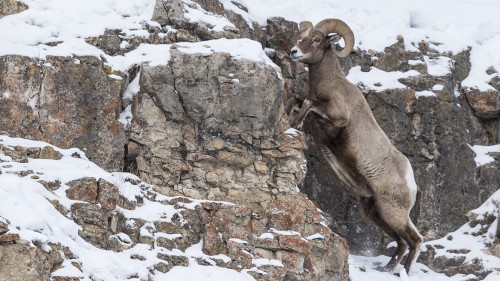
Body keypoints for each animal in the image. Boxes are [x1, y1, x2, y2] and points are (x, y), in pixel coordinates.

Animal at [290, 19, 422, 274]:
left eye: (317, 40)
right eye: (299, 36)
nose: (294, 52)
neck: (331, 85)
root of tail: (410, 180)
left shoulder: (337, 117)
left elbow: (309, 103)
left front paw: (297, 124)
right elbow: (297, 101)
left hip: (392, 212)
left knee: (415, 240)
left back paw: (403, 272)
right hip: (374, 211)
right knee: (402, 242)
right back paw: (387, 269)